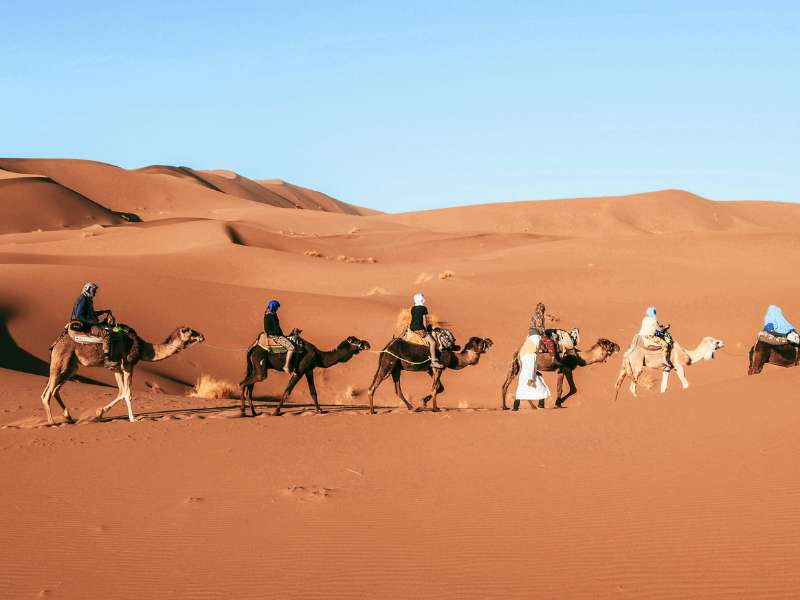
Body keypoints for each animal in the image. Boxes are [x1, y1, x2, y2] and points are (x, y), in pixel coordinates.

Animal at [41, 325, 205, 425]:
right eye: (189, 331)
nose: (202, 335)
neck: (144, 348)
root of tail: (56, 343)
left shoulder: (116, 369)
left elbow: (121, 392)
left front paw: (99, 413)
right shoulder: (128, 365)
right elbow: (128, 393)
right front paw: (133, 419)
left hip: (71, 366)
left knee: (55, 389)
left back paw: (68, 417)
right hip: (61, 360)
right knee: (47, 393)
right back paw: (52, 422)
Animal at [239, 333, 370, 416]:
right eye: (356, 341)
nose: (367, 343)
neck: (318, 356)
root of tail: (252, 348)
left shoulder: (309, 370)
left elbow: (313, 392)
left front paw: (319, 410)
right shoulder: (299, 371)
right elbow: (287, 391)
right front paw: (276, 412)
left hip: (254, 367)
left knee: (248, 385)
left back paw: (253, 412)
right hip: (260, 365)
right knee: (245, 383)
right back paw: (243, 412)